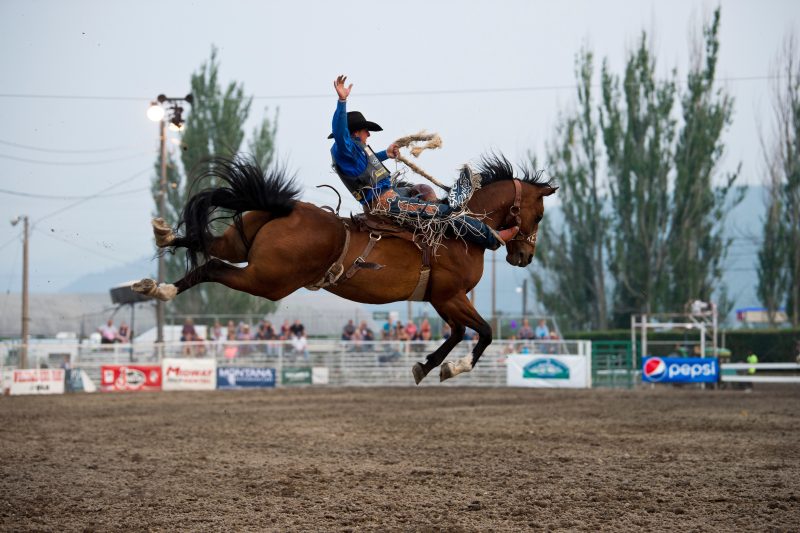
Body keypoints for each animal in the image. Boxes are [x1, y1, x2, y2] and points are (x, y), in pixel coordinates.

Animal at [133, 154, 556, 382]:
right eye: (538, 214)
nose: (524, 257)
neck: (461, 229)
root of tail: (286, 209)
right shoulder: (450, 296)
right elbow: (483, 332)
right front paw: (454, 368)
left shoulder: (441, 300)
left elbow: (457, 333)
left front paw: (427, 366)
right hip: (266, 280)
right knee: (213, 267)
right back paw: (162, 286)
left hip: (242, 243)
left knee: (206, 245)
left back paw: (159, 256)